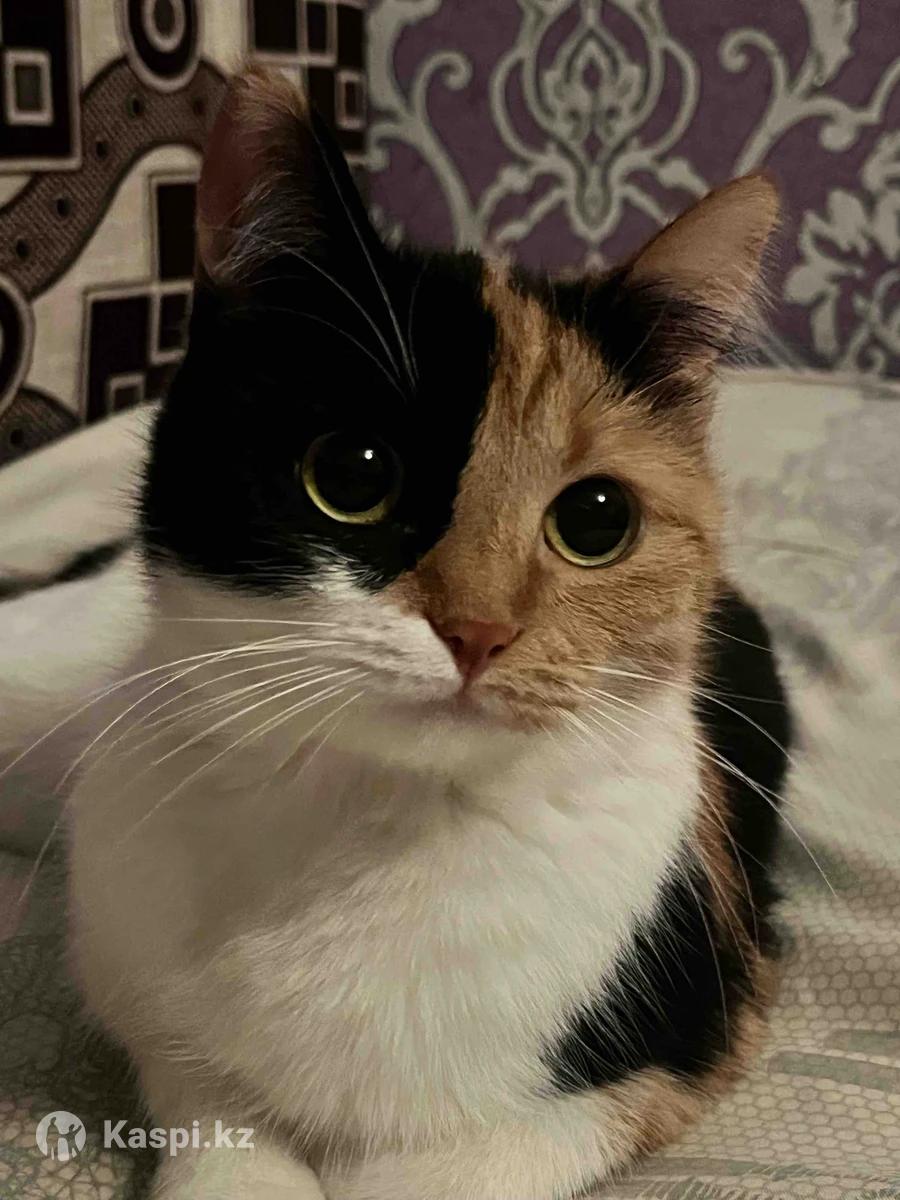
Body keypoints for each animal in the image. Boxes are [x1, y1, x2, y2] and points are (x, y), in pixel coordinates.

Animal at [66, 67, 790, 1200]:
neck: (381, 820)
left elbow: (443, 1170)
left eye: (597, 519)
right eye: (352, 474)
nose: (479, 630)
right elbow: (222, 1134)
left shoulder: (687, 1043)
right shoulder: (165, 1036)